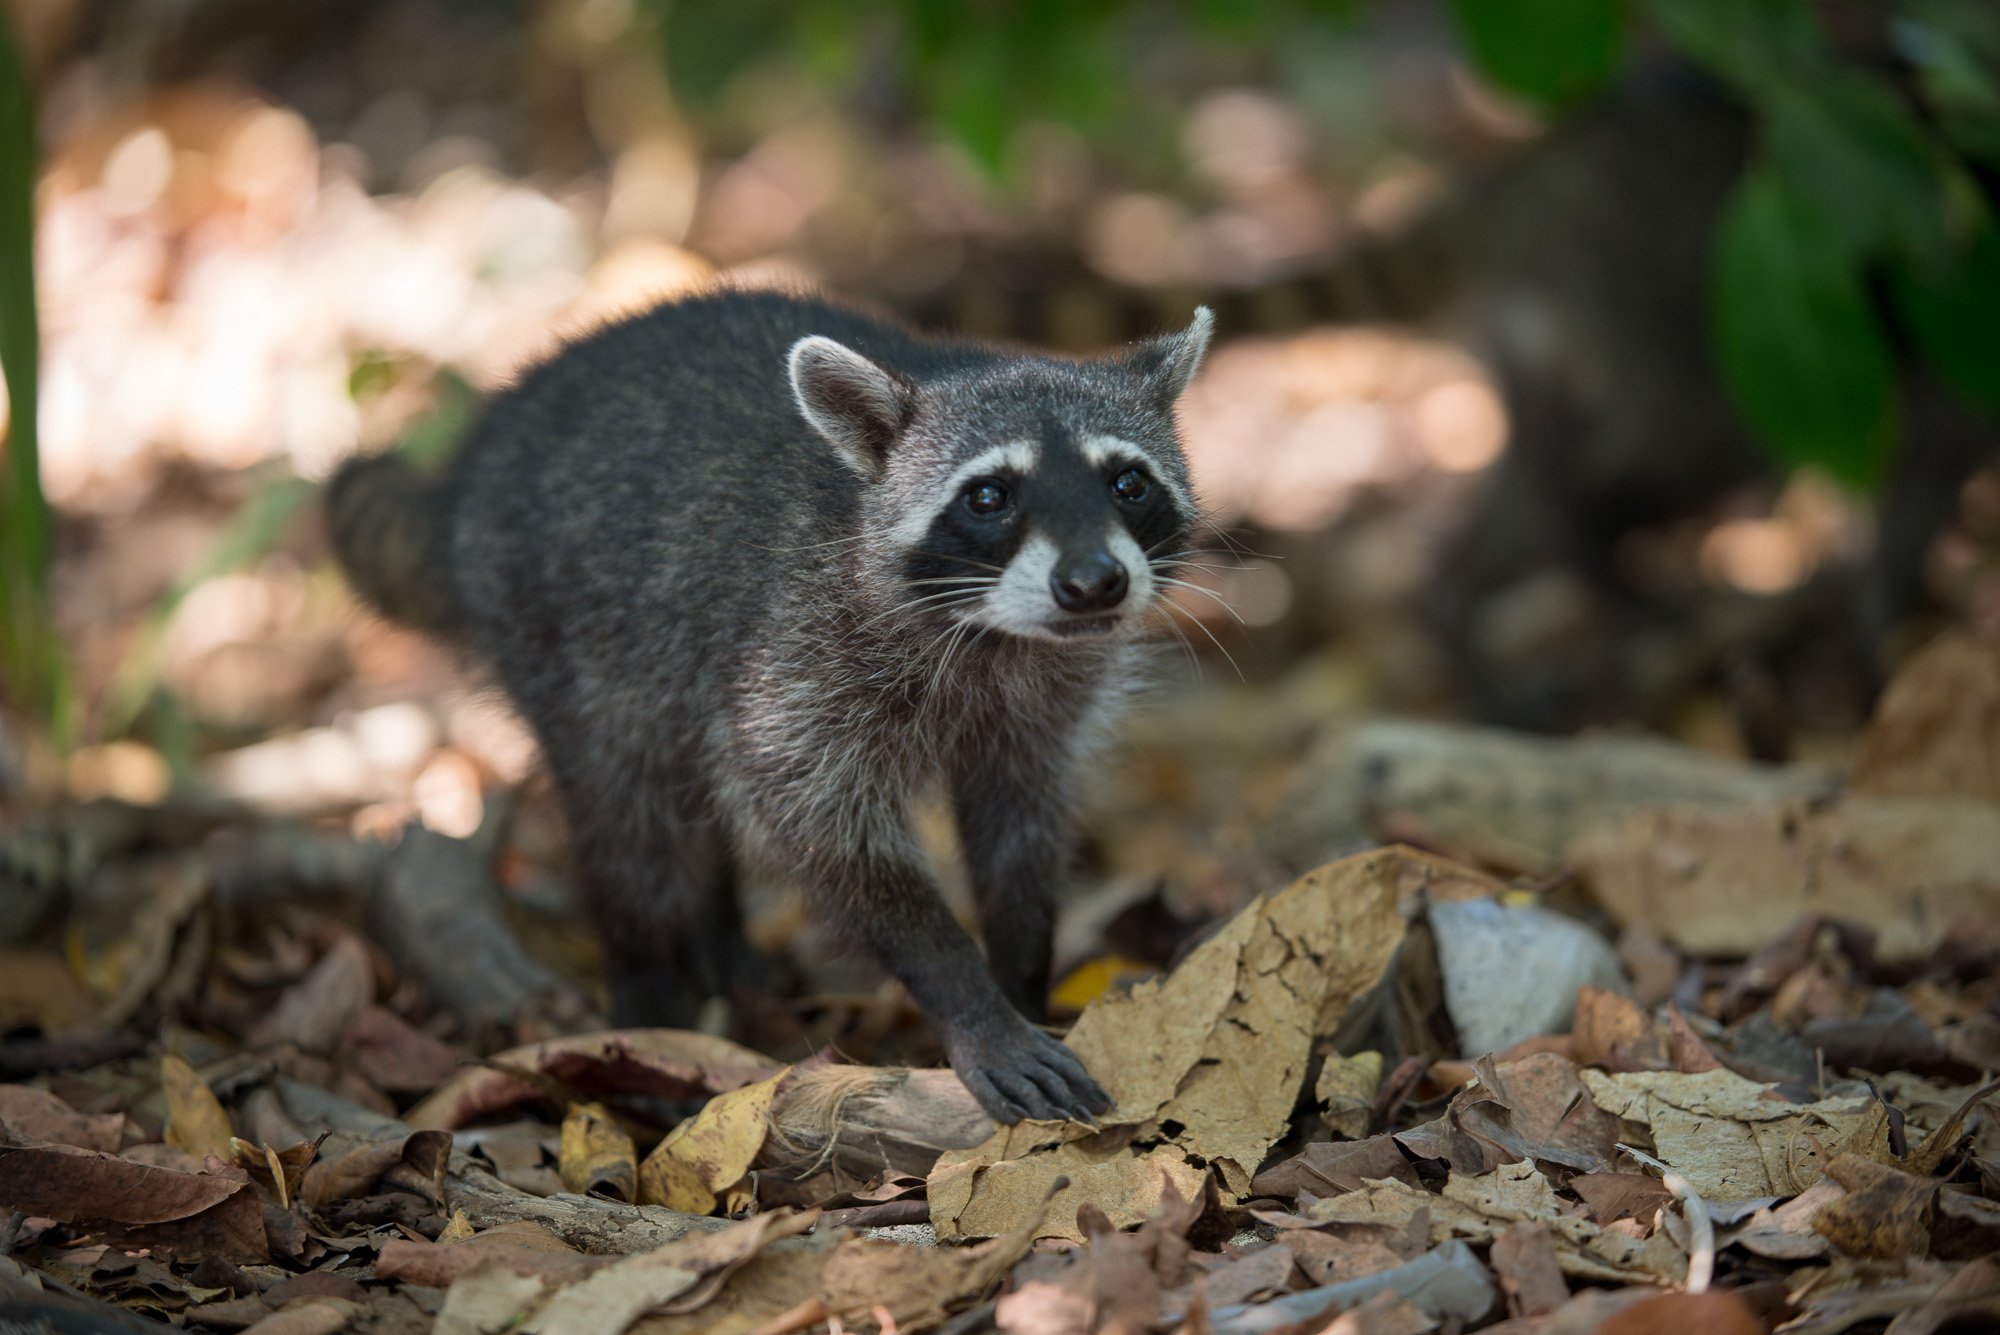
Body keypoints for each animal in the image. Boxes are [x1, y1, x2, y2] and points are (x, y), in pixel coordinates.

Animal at [330, 287, 1208, 1119]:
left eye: (1128, 481)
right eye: (989, 496)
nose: (1093, 582)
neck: (997, 633)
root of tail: (478, 461)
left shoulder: (1045, 702)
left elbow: (1020, 825)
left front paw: (1023, 971)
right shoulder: (797, 657)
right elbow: (821, 826)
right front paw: (966, 994)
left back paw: (718, 935)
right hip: (558, 628)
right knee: (632, 817)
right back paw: (647, 984)